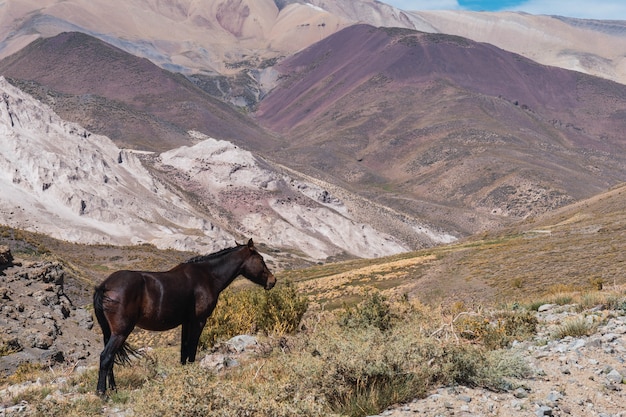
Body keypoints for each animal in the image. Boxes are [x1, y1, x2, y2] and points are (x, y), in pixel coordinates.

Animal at [92, 237, 272, 394]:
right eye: (261, 259)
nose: (273, 281)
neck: (207, 276)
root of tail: (105, 286)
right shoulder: (199, 321)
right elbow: (192, 348)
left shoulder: (186, 322)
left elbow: (184, 350)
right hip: (120, 332)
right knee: (106, 357)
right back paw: (102, 393)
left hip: (109, 333)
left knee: (111, 359)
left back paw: (113, 389)